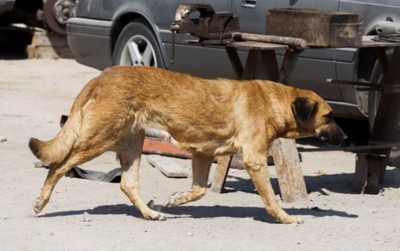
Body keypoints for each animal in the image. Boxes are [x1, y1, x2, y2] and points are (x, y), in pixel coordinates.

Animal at [28, 66, 346, 224]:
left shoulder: (203, 153)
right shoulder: (254, 160)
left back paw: (151, 214)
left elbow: (198, 190)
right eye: (329, 116)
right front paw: (285, 217)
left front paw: (175, 199)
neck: (274, 101)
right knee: (57, 165)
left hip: (132, 143)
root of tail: (100, 77)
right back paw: (41, 202)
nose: (345, 139)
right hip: (98, 139)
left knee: (128, 184)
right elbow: (270, 198)